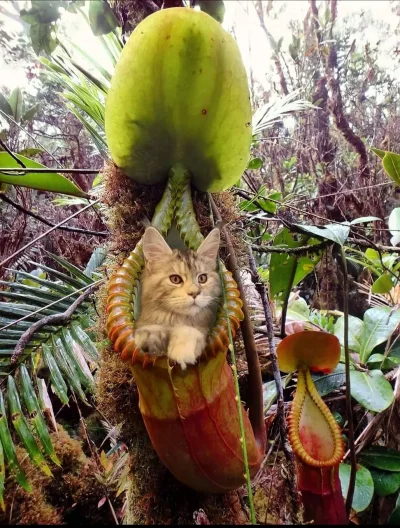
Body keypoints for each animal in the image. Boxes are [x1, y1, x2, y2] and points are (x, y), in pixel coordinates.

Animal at [134, 225, 222, 370]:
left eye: (202, 278)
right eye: (175, 279)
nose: (194, 293)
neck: (175, 320)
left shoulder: (202, 328)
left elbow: (189, 332)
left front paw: (182, 350)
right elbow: (149, 331)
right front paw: (149, 338)